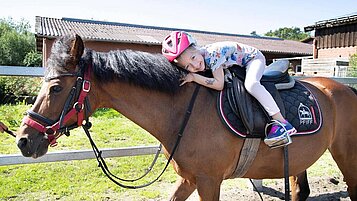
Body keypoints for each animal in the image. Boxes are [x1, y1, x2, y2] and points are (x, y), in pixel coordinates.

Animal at [16, 35, 356, 201]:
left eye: (56, 87)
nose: (23, 141)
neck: (184, 110)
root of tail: (345, 89)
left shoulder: (209, 182)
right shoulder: (189, 179)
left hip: (346, 156)